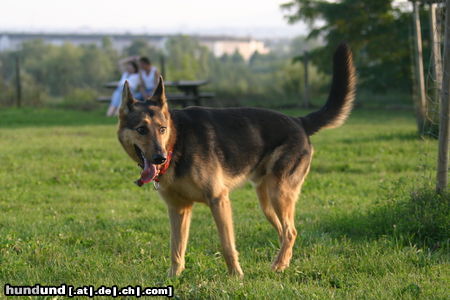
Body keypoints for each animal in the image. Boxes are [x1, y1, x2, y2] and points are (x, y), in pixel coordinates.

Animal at [118, 44, 356, 276]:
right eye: (141, 130)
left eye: (162, 129)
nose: (159, 158)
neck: (177, 142)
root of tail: (299, 121)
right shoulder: (179, 209)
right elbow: (176, 250)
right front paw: (173, 279)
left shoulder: (218, 200)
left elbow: (227, 245)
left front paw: (236, 276)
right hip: (266, 201)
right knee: (285, 232)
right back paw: (282, 264)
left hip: (279, 194)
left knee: (290, 231)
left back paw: (278, 265)